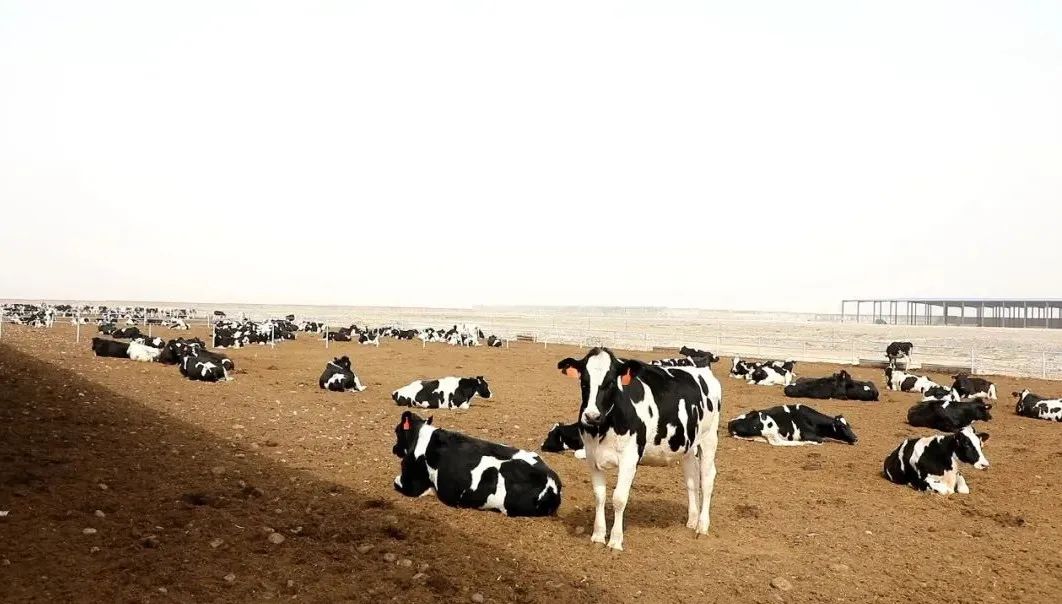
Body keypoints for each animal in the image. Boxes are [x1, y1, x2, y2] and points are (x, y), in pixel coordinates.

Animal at [556, 346, 722, 547]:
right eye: (584, 381)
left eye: (611, 382)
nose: (591, 416)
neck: (603, 427)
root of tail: (702, 368)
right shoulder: (591, 456)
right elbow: (599, 496)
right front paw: (598, 535)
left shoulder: (630, 457)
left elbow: (619, 498)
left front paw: (615, 541)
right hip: (688, 446)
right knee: (692, 479)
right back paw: (692, 521)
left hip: (709, 438)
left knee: (707, 479)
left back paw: (702, 527)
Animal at [726, 403, 858, 445]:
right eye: (842, 426)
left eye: (849, 425)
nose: (856, 438)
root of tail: (731, 422)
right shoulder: (808, 434)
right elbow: (820, 440)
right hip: (770, 426)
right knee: (778, 443)